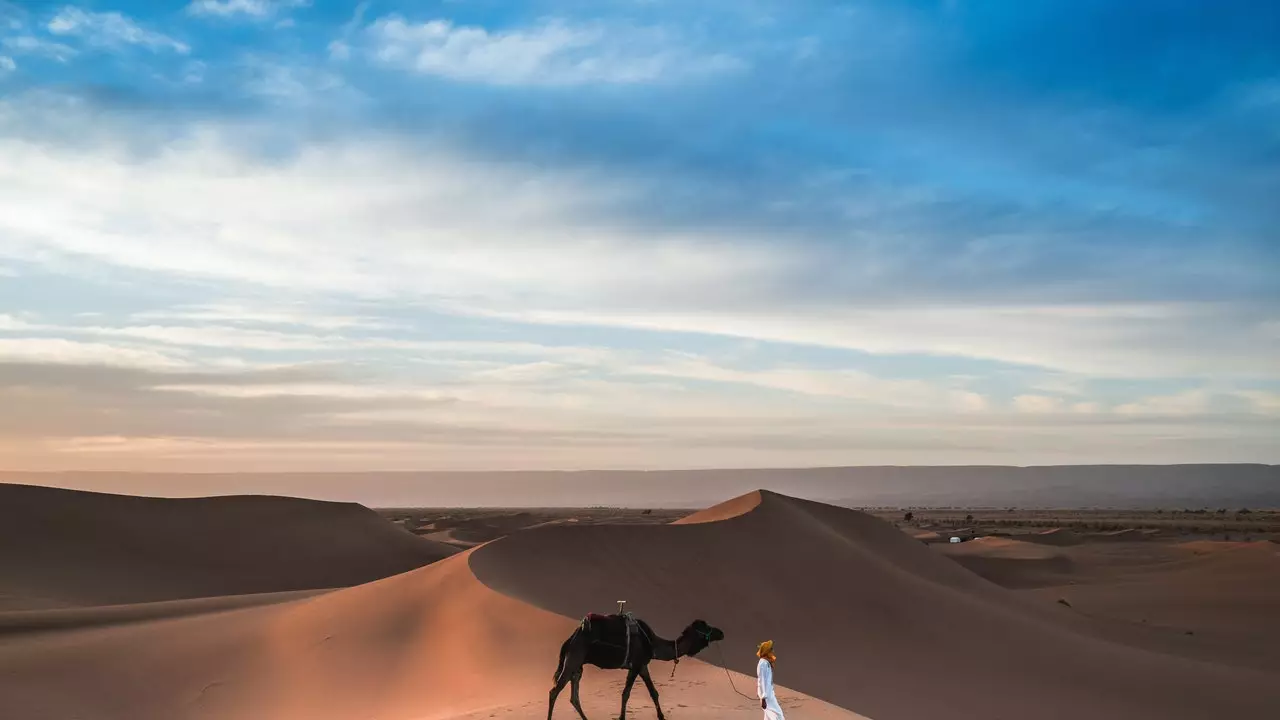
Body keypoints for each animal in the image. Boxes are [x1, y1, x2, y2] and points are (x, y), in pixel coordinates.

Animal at [547, 609, 727, 717]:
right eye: (706, 627)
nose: (721, 632)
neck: (653, 644)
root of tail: (571, 639)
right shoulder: (636, 665)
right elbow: (625, 694)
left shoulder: (643, 665)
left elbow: (654, 693)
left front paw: (662, 716)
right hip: (574, 659)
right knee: (554, 691)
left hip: (578, 666)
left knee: (574, 697)